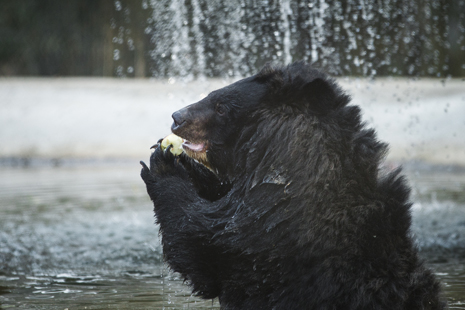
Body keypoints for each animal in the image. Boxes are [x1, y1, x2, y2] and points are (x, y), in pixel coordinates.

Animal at [140, 61, 444, 308]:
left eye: (221, 106)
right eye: (212, 94)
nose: (177, 117)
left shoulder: (279, 229)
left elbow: (212, 243)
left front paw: (164, 165)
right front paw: (182, 163)